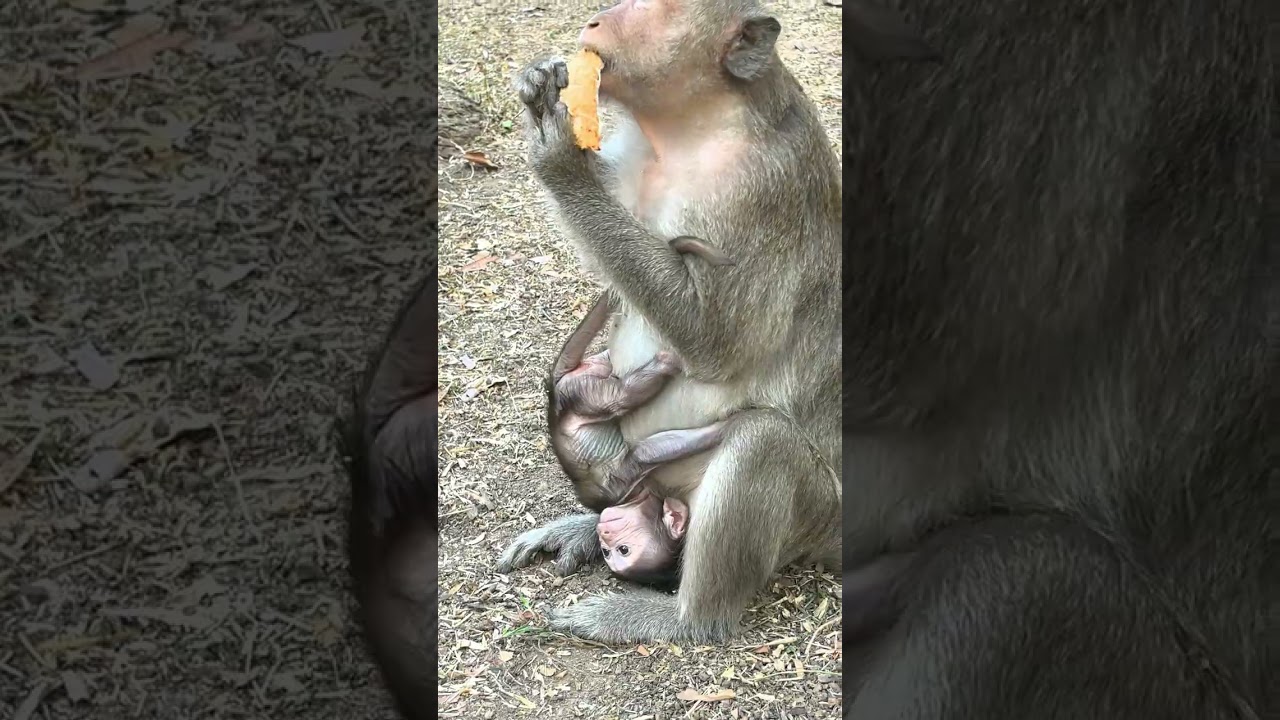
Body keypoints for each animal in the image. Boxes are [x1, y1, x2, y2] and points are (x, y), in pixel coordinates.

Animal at [496, 0, 844, 645]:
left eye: (656, 8)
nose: (595, 22)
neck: (686, 132)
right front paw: (540, 88)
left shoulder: (761, 189)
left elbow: (715, 340)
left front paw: (558, 154)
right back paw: (590, 522)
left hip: (814, 514)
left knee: (761, 442)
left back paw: (681, 619)